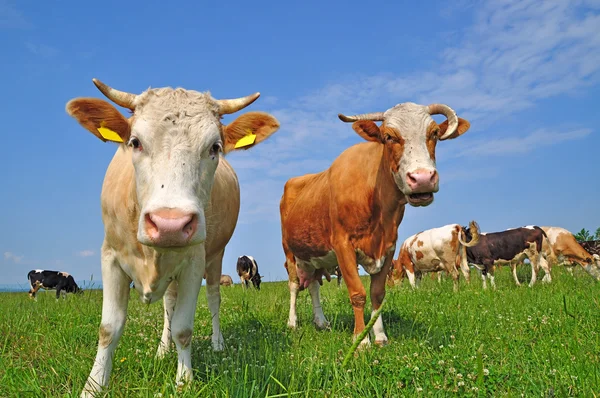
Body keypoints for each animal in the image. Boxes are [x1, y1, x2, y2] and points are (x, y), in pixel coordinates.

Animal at [66, 79, 278, 396]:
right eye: (135, 142)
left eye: (215, 147)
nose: (170, 225)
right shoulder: (110, 256)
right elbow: (109, 328)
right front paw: (93, 385)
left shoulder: (194, 261)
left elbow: (184, 329)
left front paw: (184, 380)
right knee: (169, 305)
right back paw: (162, 350)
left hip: (216, 257)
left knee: (213, 299)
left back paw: (217, 343)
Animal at [282, 102, 474, 348]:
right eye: (388, 136)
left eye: (434, 134)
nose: (422, 178)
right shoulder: (343, 246)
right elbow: (357, 293)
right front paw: (361, 340)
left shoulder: (389, 246)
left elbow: (377, 293)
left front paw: (380, 336)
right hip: (290, 252)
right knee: (295, 285)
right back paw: (292, 323)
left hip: (313, 255)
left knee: (314, 284)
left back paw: (321, 322)